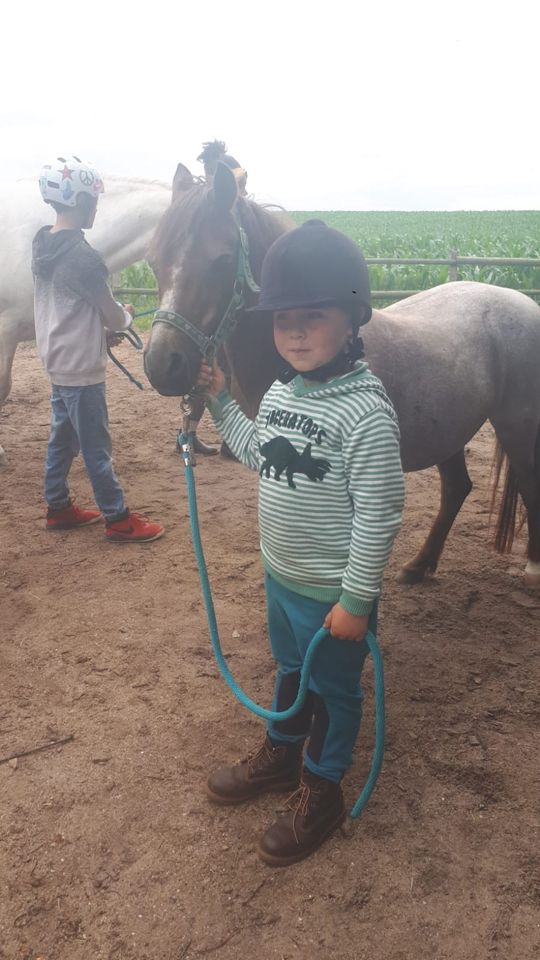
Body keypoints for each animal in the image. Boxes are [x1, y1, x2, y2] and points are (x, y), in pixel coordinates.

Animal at [143, 161, 540, 588]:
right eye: (153, 262)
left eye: (220, 260)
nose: (162, 365)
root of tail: (521, 302)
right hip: (450, 429)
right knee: (456, 490)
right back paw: (419, 566)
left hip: (516, 426)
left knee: (527, 483)